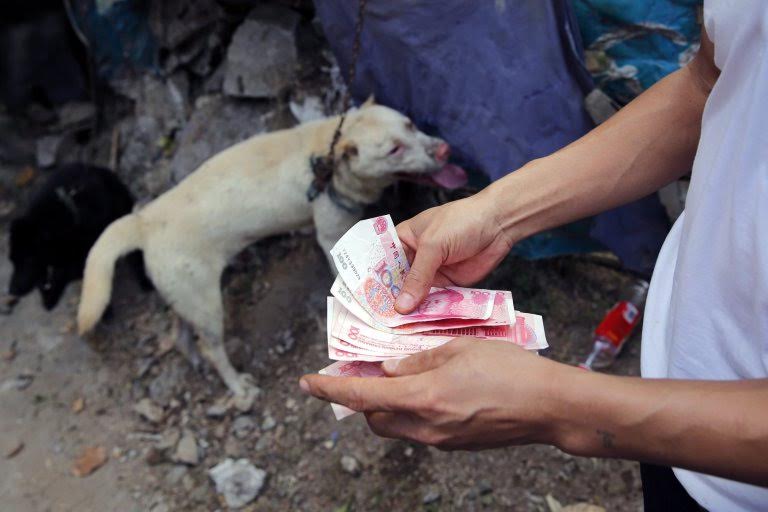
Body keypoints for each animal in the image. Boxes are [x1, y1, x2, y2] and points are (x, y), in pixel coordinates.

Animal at [76, 101, 468, 408]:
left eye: (411, 124)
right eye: (393, 150)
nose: (445, 151)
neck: (327, 153)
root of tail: (143, 221)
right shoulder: (329, 233)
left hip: (184, 298)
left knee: (181, 333)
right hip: (205, 301)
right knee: (212, 347)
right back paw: (237, 387)